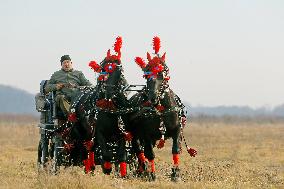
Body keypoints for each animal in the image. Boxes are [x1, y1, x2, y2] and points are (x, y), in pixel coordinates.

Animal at [130, 36, 196, 181]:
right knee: (139, 150)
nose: (153, 97)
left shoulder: (177, 130)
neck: (160, 110)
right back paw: (143, 169)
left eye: (162, 72)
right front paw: (152, 175)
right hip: (134, 134)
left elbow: (176, 149)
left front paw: (176, 174)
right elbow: (150, 154)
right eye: (146, 75)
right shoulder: (146, 134)